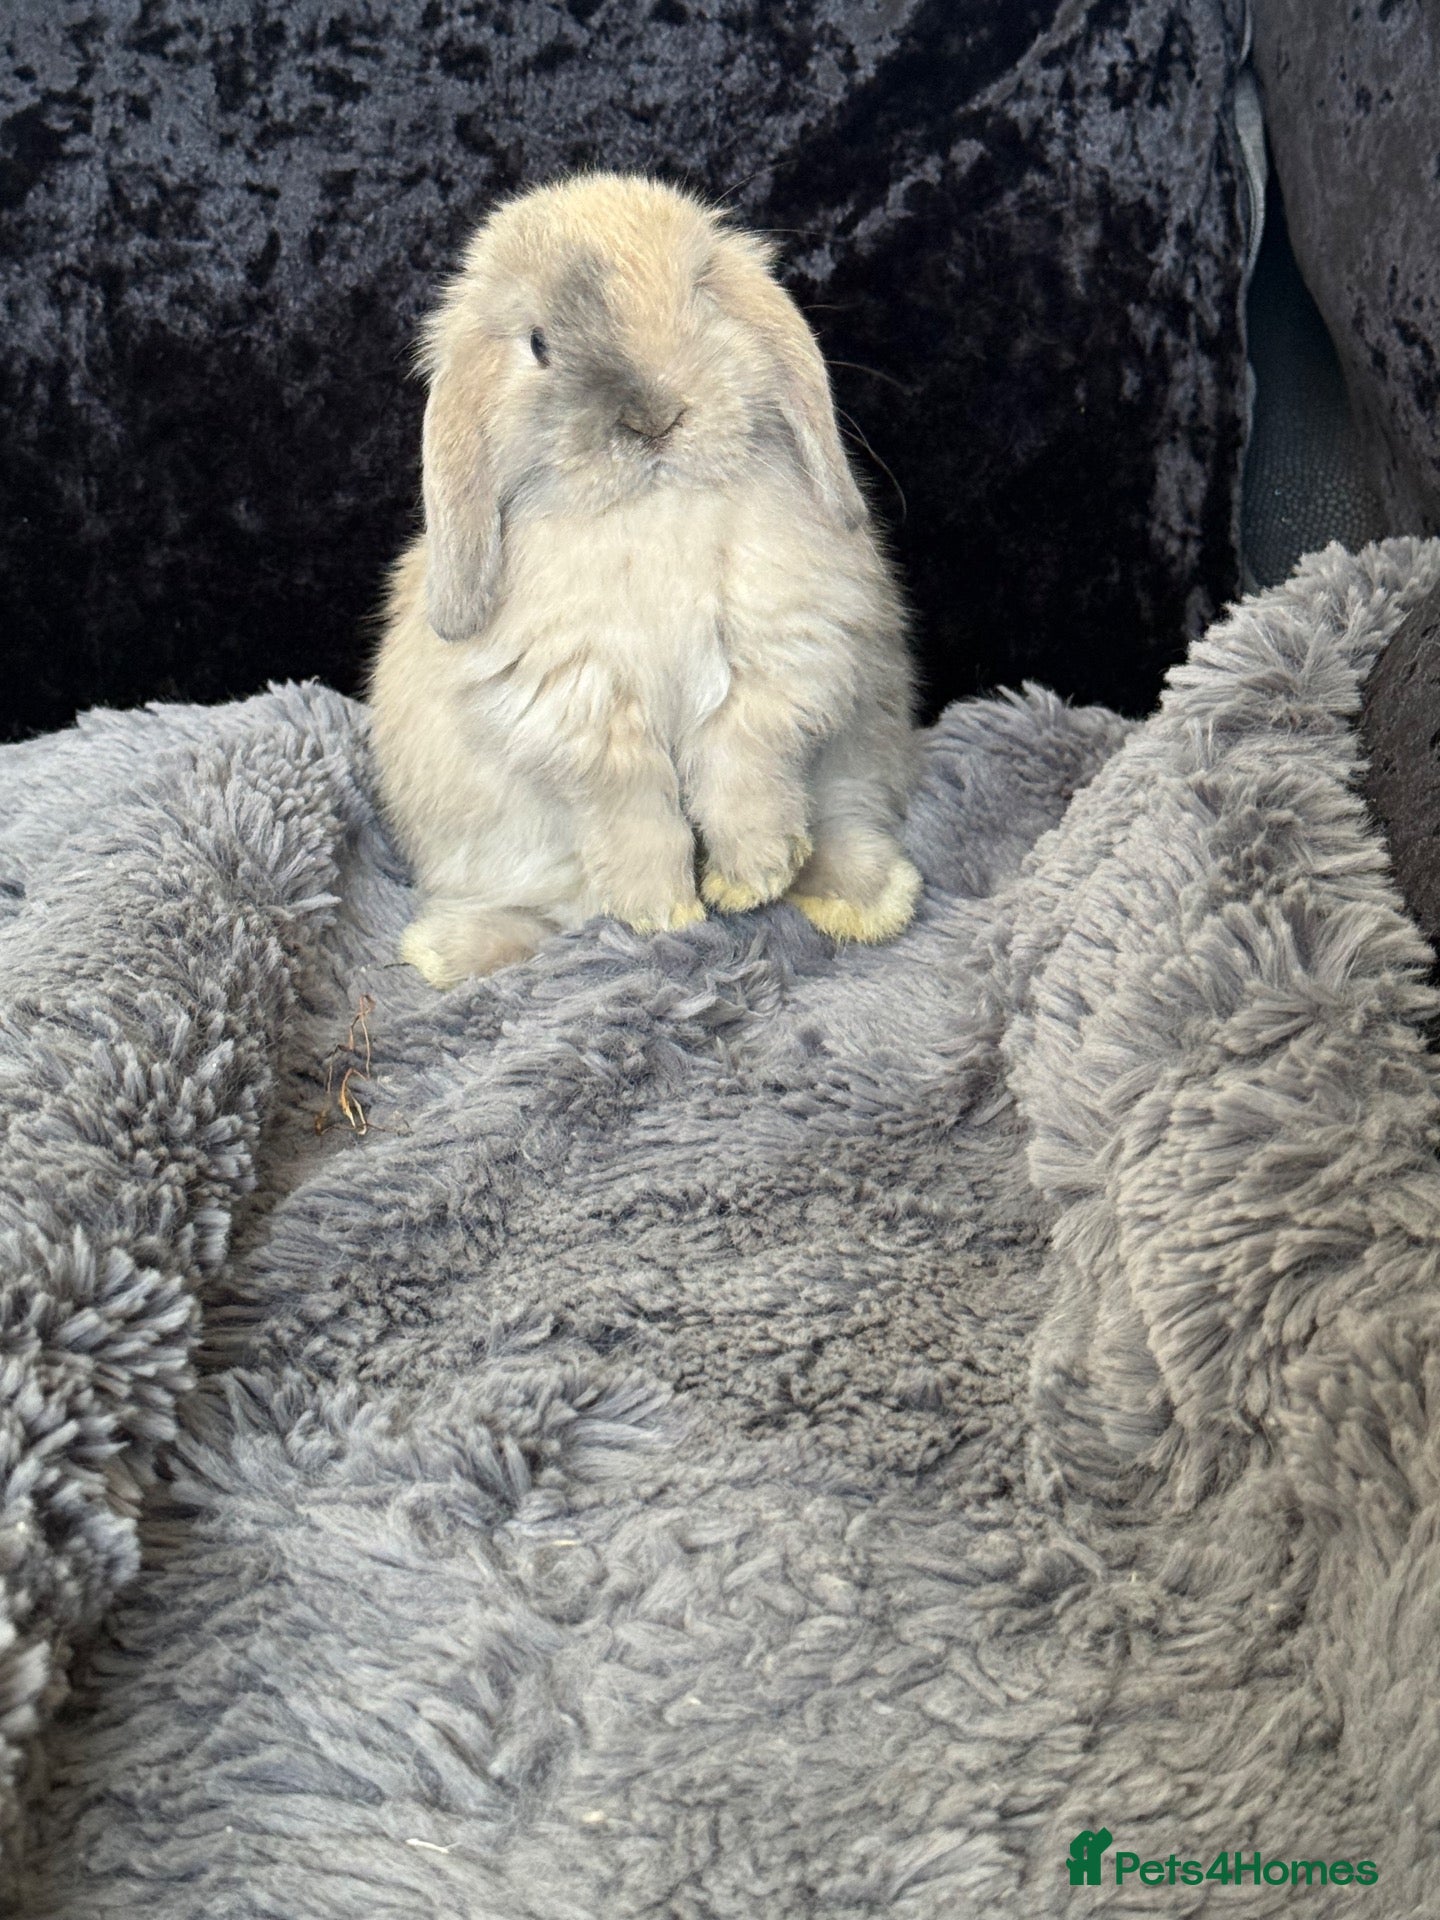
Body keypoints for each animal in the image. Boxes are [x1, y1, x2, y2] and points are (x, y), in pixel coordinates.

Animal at [369, 171, 921, 988]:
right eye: (538, 344)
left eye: (701, 294)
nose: (654, 416)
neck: (655, 511)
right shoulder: (577, 710)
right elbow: (632, 808)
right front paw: (664, 912)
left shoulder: (780, 659)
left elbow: (743, 764)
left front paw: (750, 878)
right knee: (542, 916)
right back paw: (448, 953)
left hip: (862, 770)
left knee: (846, 827)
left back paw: (865, 901)